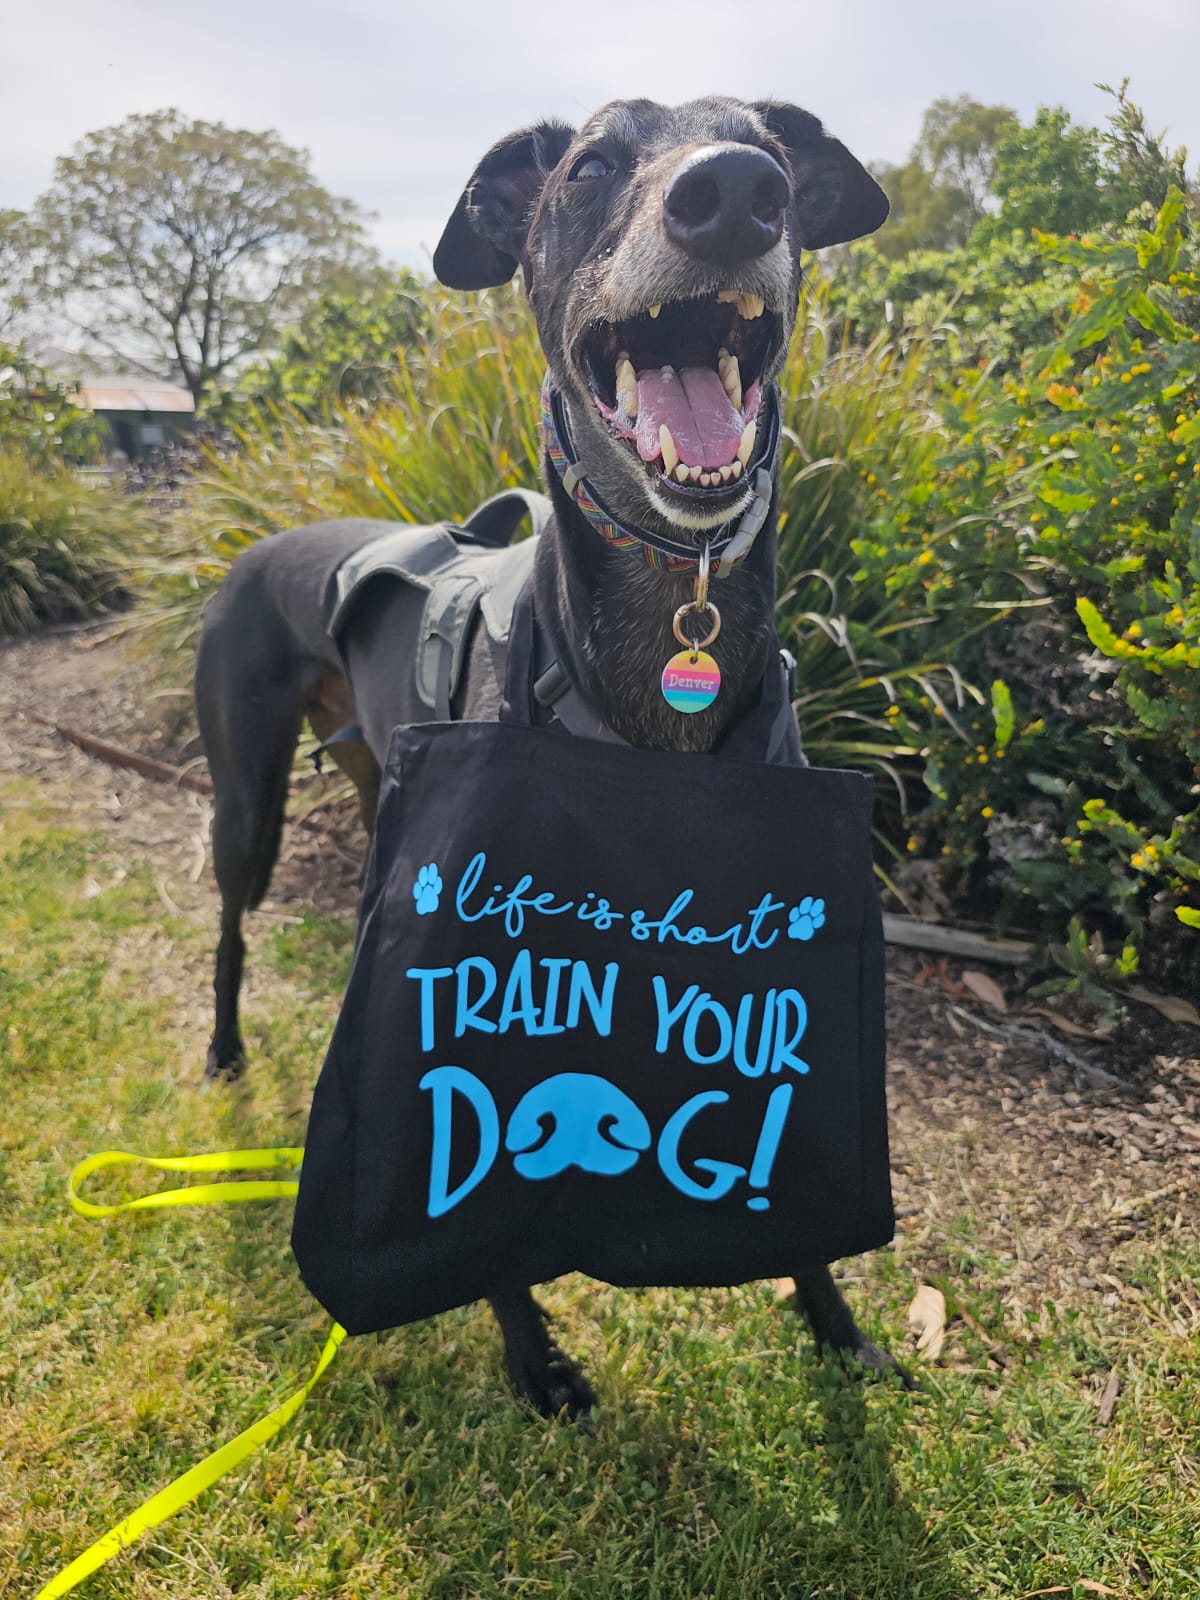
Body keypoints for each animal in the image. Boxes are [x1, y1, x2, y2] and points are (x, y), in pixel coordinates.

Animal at [197, 96, 902, 1414]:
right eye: (589, 167)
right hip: (245, 805)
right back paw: (223, 1051)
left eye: (775, 150)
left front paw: (832, 1318)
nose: (735, 193)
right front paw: (533, 1354)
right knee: (226, 932)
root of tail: (261, 539)